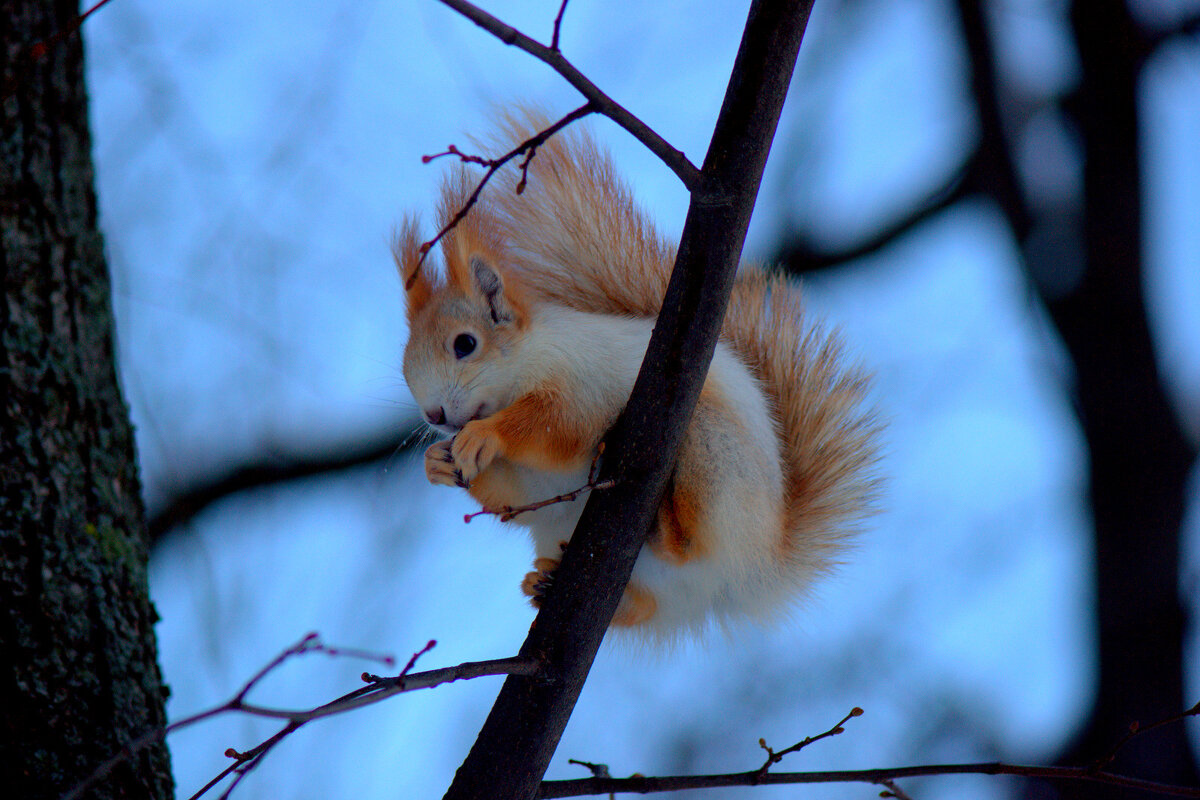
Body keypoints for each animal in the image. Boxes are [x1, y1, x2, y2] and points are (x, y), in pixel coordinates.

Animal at [398, 112, 878, 642]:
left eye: (465, 344)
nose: (435, 415)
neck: (520, 367)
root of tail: (756, 570)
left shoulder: (580, 380)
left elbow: (558, 428)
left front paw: (488, 435)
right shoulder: (534, 484)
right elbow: (515, 496)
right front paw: (437, 464)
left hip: (712, 453)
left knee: (687, 545)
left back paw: (666, 524)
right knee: (645, 606)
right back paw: (543, 583)